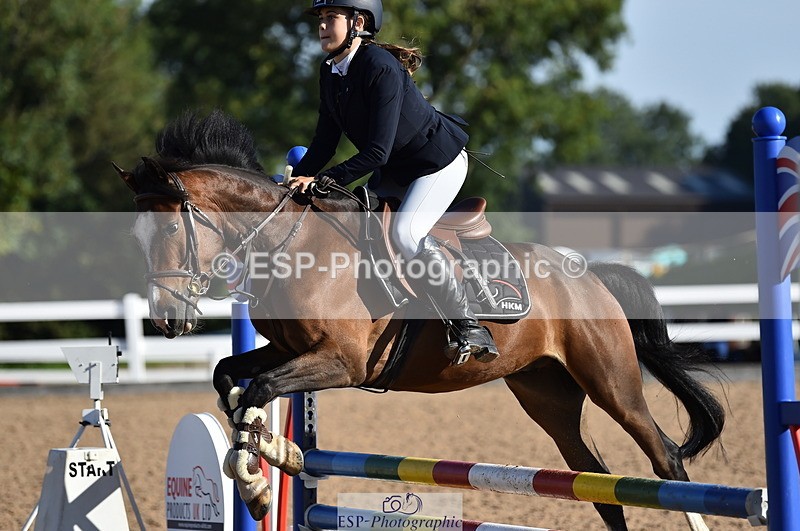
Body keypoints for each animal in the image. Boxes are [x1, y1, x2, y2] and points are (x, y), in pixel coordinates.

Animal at [116, 111, 724, 531]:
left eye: (168, 230)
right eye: (136, 239)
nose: (167, 321)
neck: (293, 245)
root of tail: (587, 273)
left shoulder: (342, 362)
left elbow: (260, 387)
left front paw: (257, 482)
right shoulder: (289, 351)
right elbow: (231, 378)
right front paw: (273, 458)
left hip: (611, 382)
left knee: (665, 459)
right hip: (546, 393)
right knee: (596, 481)